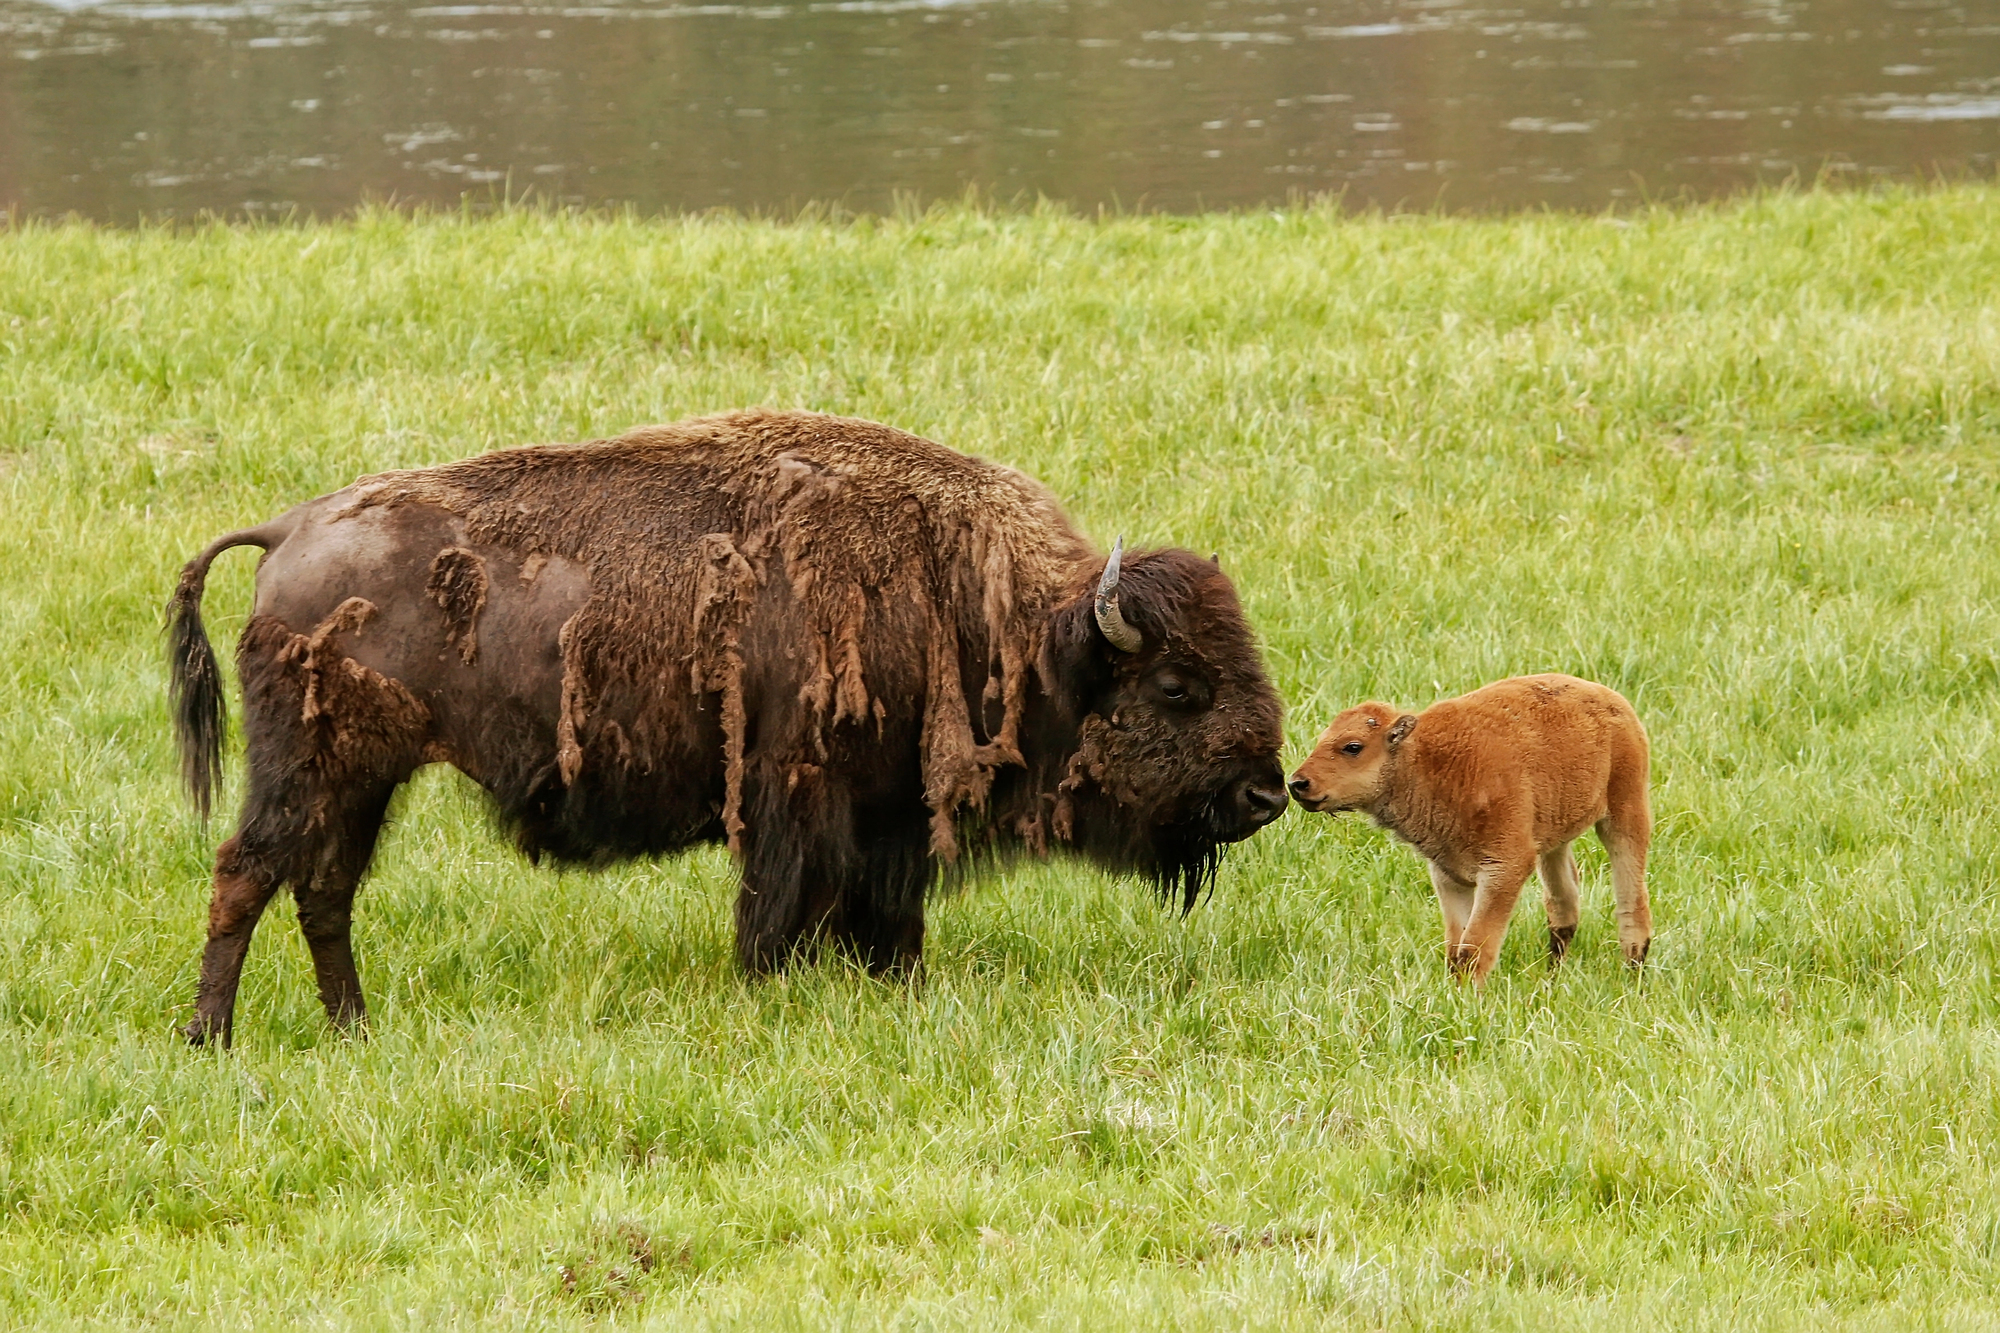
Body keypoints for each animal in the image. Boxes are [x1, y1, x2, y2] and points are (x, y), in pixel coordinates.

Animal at [169, 410, 1288, 1045]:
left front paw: (896, 987)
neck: (1002, 613)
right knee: (248, 873)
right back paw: (211, 1038)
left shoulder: (884, 825)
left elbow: (890, 923)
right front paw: (768, 989)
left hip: (362, 779)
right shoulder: (797, 802)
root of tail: (289, 531)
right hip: (310, 768)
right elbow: (776, 914)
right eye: (1178, 685)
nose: (1267, 792)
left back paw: (352, 1029)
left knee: (322, 890)